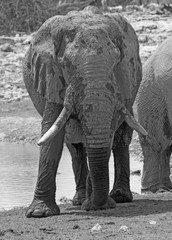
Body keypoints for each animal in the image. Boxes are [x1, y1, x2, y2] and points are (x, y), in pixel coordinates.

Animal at [22, 6, 146, 218]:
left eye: (117, 61)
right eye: (65, 64)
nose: (93, 206)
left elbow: (108, 131)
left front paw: (98, 205)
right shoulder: (51, 77)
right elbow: (51, 130)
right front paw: (39, 213)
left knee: (120, 139)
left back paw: (118, 197)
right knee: (75, 148)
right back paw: (80, 200)